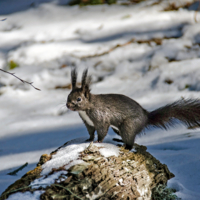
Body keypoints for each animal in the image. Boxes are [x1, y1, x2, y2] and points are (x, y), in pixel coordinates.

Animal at [66, 69, 200, 149]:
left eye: (78, 99)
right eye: (68, 96)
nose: (68, 105)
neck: (86, 109)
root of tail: (146, 117)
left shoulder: (101, 118)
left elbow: (102, 131)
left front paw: (98, 141)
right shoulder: (88, 122)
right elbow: (90, 132)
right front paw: (89, 139)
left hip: (129, 125)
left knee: (130, 139)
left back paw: (126, 147)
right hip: (119, 129)